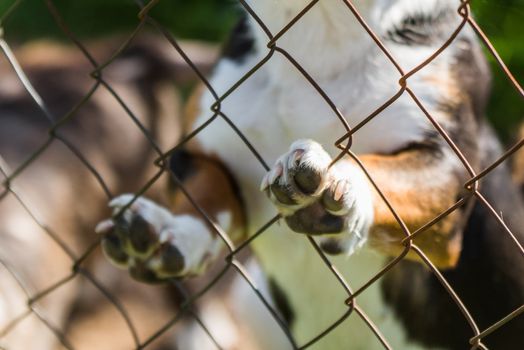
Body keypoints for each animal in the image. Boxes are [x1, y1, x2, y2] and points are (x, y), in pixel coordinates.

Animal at [96, 1, 524, 348]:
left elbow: (378, 172)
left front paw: (335, 189)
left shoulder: (448, 171)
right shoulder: (197, 151)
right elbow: (207, 194)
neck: (322, 32)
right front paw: (163, 230)